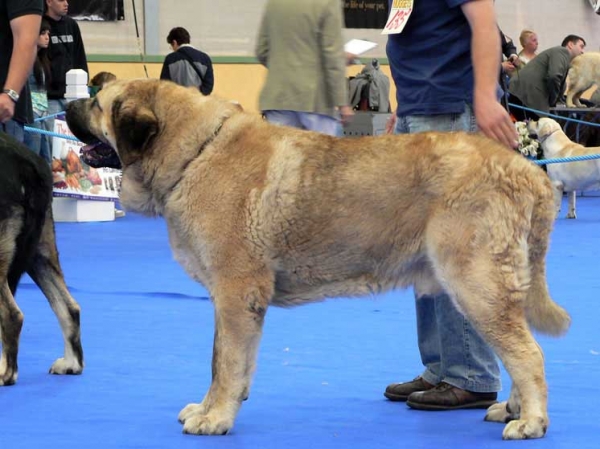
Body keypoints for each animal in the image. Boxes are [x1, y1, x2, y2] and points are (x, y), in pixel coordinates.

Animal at [0, 131, 83, 384]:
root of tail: (27, 162)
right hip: (40, 250)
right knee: (69, 307)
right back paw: (70, 364)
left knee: (12, 316)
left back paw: (5, 373)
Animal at [65, 79, 572, 440]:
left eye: (97, 103)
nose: (67, 107)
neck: (195, 152)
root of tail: (526, 169)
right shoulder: (233, 302)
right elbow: (225, 361)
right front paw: (214, 406)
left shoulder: (234, 293)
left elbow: (225, 363)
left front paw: (216, 418)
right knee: (516, 348)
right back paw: (513, 407)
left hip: (475, 283)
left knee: (527, 352)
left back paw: (531, 421)